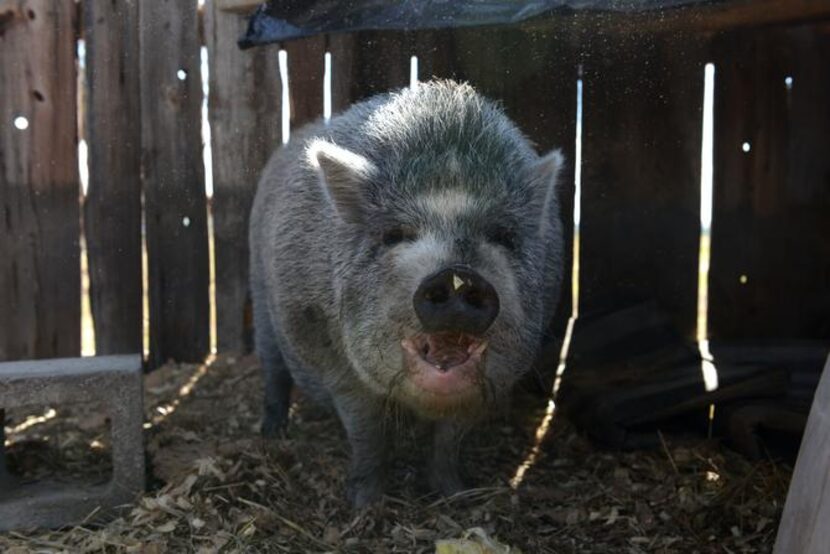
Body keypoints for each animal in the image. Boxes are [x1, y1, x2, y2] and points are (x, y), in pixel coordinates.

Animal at [250, 77, 568, 504]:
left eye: (504, 237)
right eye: (394, 234)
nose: (457, 275)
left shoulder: (492, 383)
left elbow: (450, 440)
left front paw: (456, 495)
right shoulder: (330, 356)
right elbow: (365, 430)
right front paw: (364, 504)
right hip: (260, 293)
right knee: (273, 369)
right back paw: (273, 431)